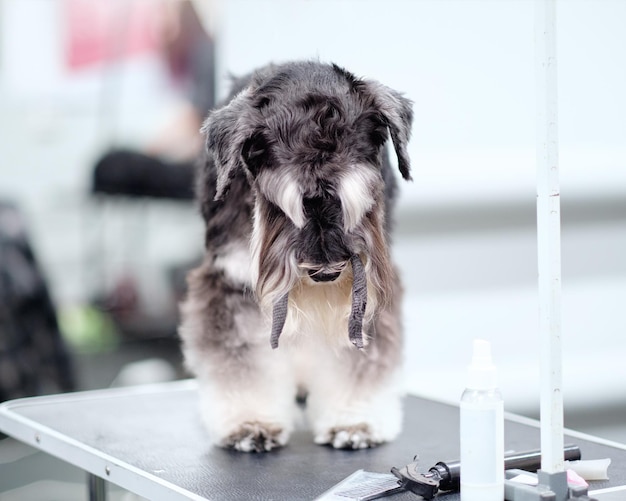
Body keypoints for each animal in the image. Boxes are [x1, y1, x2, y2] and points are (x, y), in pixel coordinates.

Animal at [178, 60, 412, 452]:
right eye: (282, 205)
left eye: (355, 199)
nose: (326, 273)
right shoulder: (231, 281)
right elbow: (241, 359)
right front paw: (250, 422)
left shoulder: (369, 293)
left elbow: (358, 358)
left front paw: (353, 420)